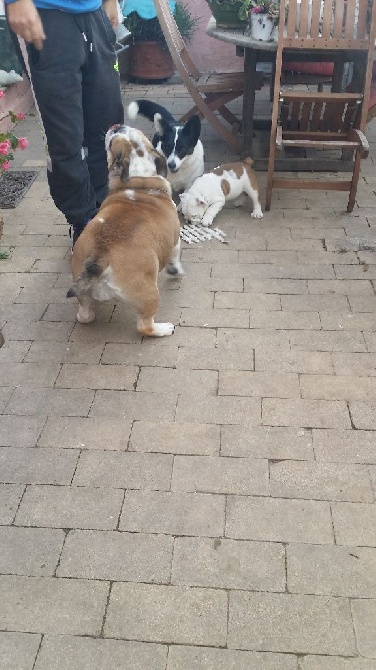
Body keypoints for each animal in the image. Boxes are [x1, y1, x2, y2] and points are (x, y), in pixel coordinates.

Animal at [68, 125, 185, 338]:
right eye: (111, 143)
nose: (117, 126)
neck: (137, 178)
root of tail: (100, 256)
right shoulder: (175, 240)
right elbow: (175, 256)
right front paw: (176, 271)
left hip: (81, 287)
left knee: (85, 314)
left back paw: (86, 314)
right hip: (149, 294)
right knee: (144, 325)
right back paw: (164, 329)